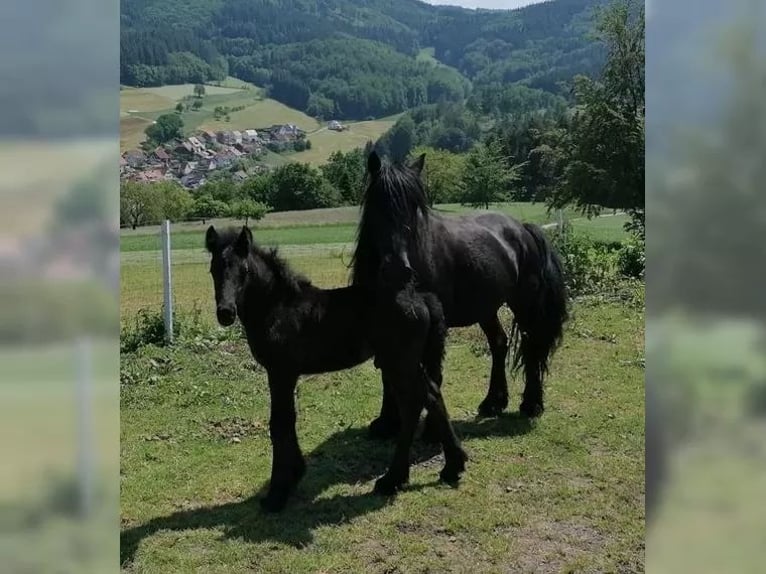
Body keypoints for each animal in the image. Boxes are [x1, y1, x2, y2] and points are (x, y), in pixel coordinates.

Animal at [204, 225, 466, 511]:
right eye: (213, 269)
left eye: (244, 271)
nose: (225, 313)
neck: (278, 307)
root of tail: (422, 298)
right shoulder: (286, 374)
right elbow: (288, 420)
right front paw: (294, 474)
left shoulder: (280, 372)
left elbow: (280, 423)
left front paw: (277, 494)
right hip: (401, 362)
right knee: (429, 395)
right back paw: (451, 466)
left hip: (399, 362)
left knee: (415, 401)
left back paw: (393, 479)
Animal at [351, 151, 569, 440]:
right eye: (378, 205)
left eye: (415, 208)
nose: (398, 269)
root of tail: (522, 228)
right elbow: (389, 372)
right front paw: (387, 423)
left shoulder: (434, 325)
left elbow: (433, 373)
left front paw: (432, 432)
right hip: (486, 308)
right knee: (499, 343)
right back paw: (493, 402)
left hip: (525, 304)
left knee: (532, 346)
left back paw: (531, 405)